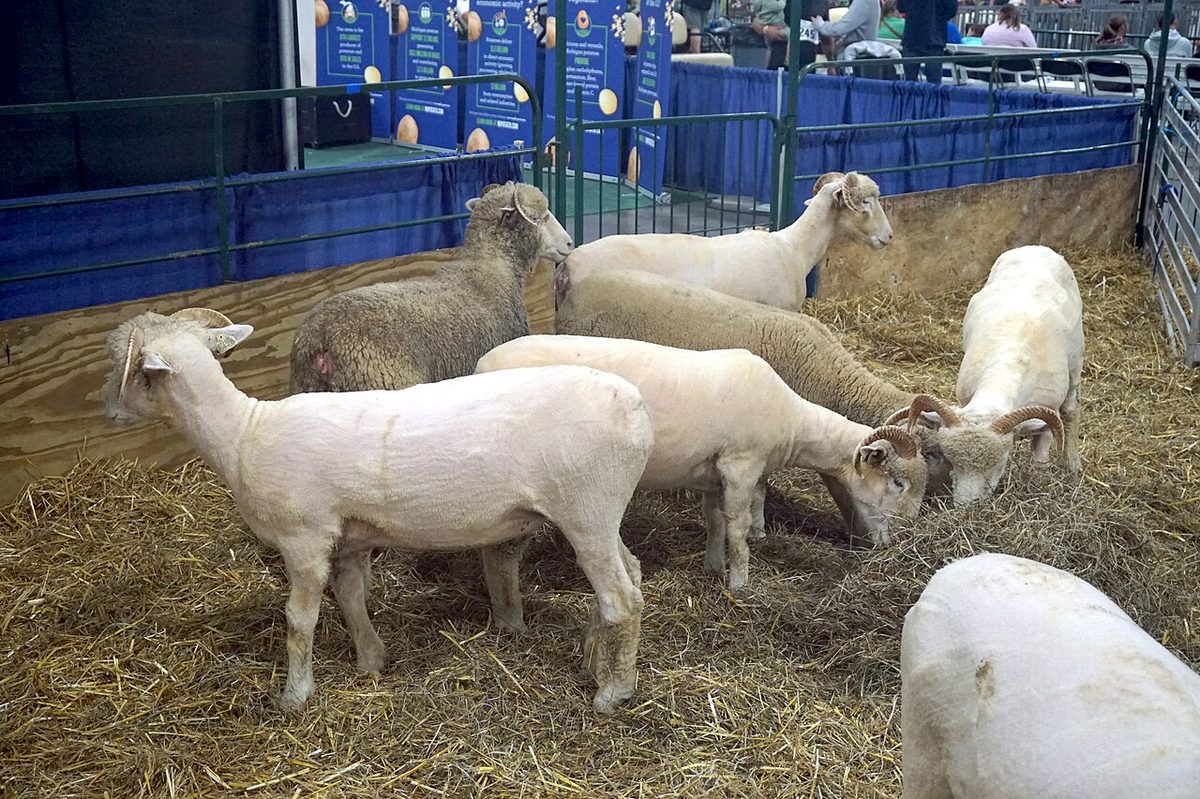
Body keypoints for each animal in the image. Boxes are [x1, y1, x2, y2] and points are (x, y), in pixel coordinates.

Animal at [103, 308, 653, 713]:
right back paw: (597, 660)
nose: (108, 410)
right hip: (603, 512)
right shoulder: (347, 538)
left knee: (621, 598)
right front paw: (371, 661)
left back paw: (612, 693)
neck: (243, 432)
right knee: (632, 573)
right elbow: (350, 597)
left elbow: (299, 619)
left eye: (122, 362)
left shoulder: (304, 539)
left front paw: (294, 696)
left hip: (586, 509)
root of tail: (637, 408)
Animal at [289, 181, 572, 394]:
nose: (569, 243)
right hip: (382, 380)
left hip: (306, 387)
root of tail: (321, 339)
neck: (490, 264)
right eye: (538, 218)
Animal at [476, 335, 926, 588]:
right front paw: (740, 583)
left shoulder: (713, 475)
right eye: (898, 483)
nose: (903, 541)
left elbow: (714, 523)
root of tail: (483, 363)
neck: (794, 424)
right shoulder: (741, 466)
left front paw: (713, 568)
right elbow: (739, 530)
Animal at [898, 245, 1082, 505]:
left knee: (1071, 411)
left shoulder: (1048, 414)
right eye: (951, 460)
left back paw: (1073, 464)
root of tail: (1036, 248)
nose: (966, 506)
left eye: (999, 462)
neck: (1008, 366)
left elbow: (1041, 453)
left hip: (1076, 361)